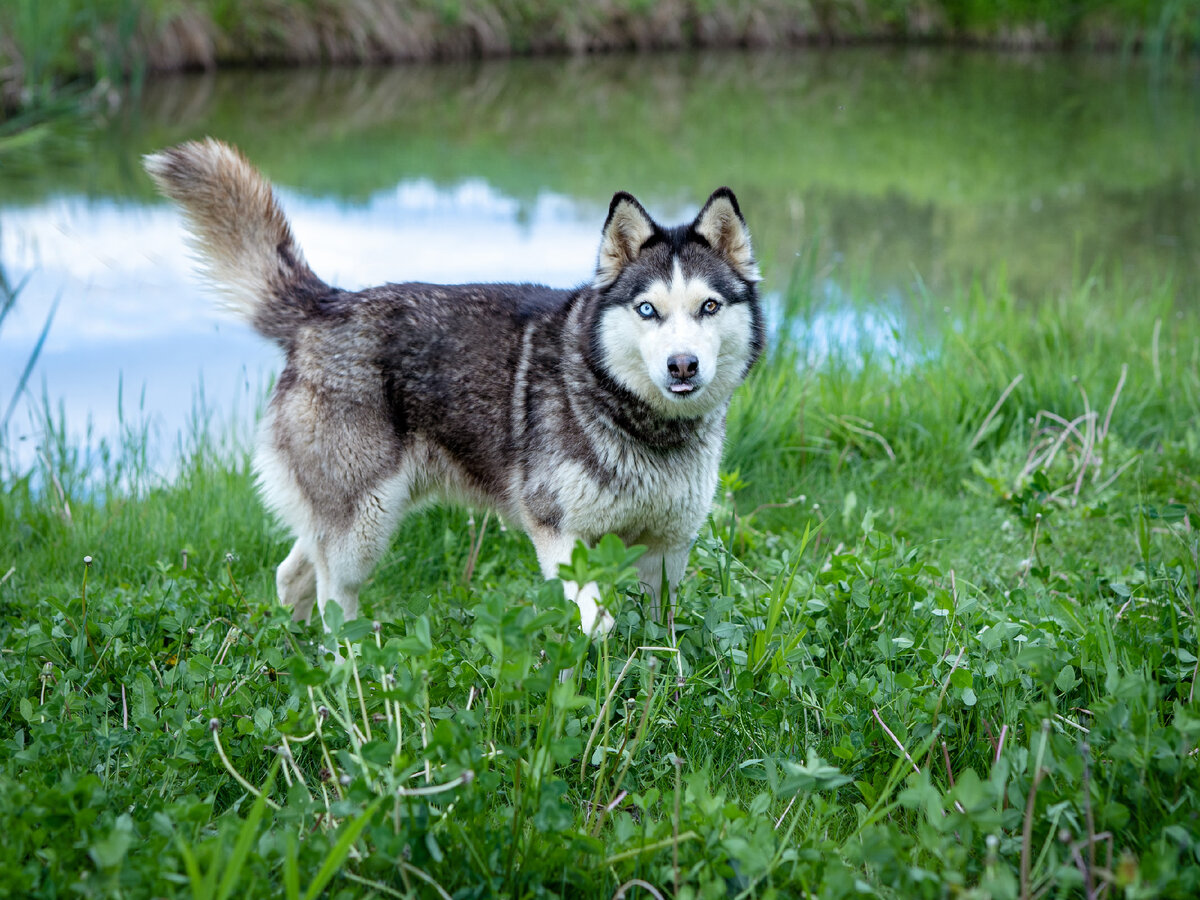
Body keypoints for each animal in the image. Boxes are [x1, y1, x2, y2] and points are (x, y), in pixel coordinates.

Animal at [140, 139, 758, 633]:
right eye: (648, 309)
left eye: (708, 306)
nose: (682, 366)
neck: (639, 421)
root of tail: (327, 304)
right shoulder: (559, 535)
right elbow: (597, 622)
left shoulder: (668, 549)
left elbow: (661, 630)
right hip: (364, 525)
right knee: (334, 595)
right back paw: (348, 668)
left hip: (359, 514)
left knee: (294, 573)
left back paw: (292, 654)